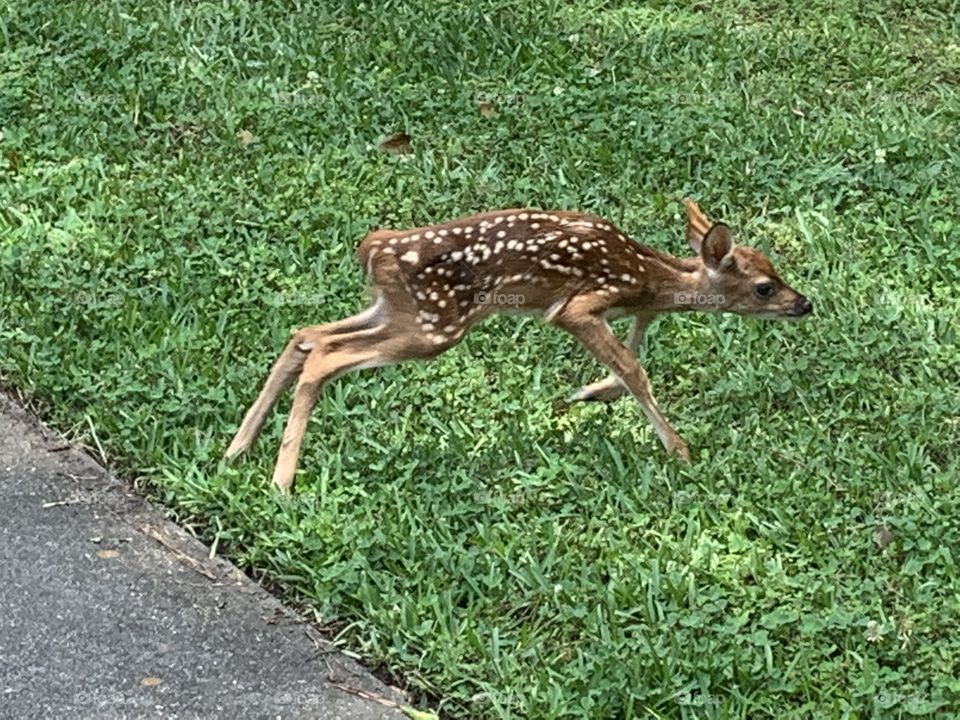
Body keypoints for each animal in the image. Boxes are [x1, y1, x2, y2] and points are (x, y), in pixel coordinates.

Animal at [224, 198, 813, 492]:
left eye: (775, 270)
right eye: (765, 287)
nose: (804, 303)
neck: (648, 277)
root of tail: (374, 247)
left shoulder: (632, 309)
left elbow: (630, 359)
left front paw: (590, 394)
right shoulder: (579, 304)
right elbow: (633, 367)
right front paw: (681, 451)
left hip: (396, 310)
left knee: (307, 335)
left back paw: (238, 449)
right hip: (436, 324)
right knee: (326, 354)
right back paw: (281, 481)